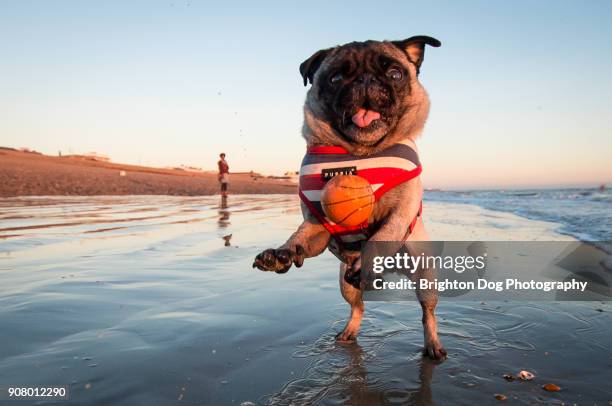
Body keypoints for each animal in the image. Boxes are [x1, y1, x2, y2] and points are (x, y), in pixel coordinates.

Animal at [251, 35, 448, 358]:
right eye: (336, 78)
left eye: (395, 74)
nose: (366, 80)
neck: (360, 153)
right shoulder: (317, 228)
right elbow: (298, 238)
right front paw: (281, 253)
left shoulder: (401, 213)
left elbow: (384, 235)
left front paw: (369, 258)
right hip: (346, 285)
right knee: (359, 308)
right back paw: (348, 332)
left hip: (425, 277)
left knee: (427, 313)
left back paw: (433, 344)